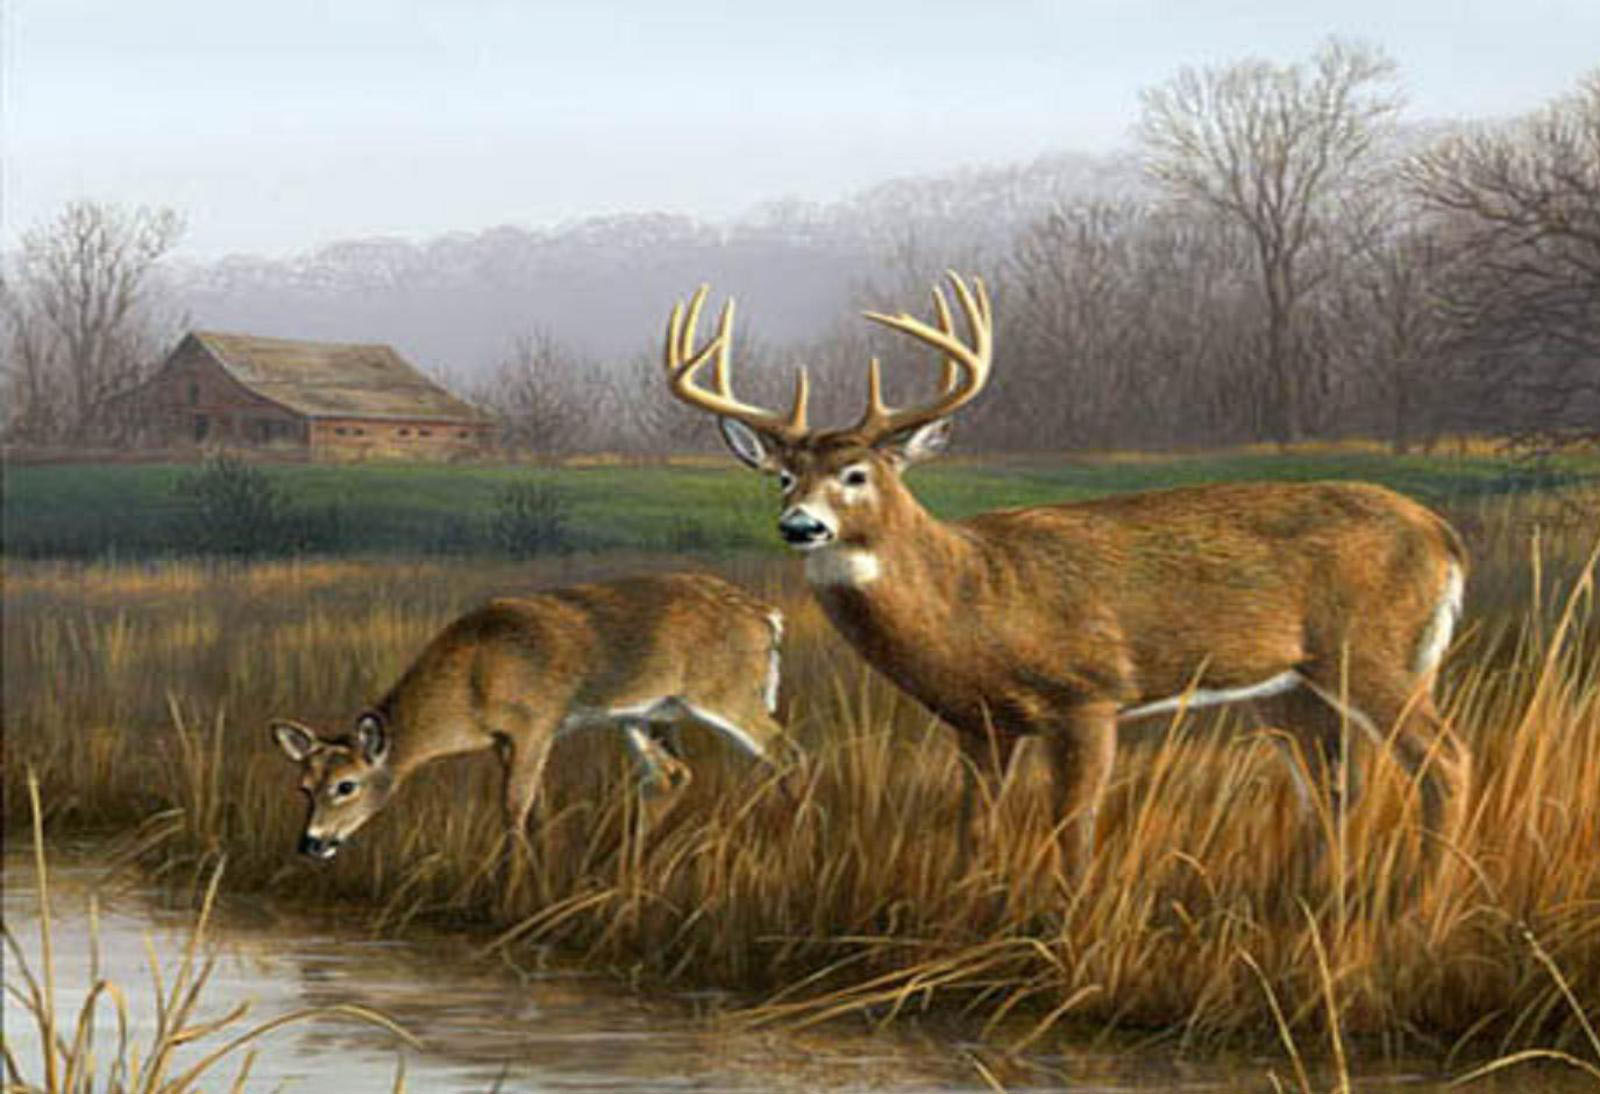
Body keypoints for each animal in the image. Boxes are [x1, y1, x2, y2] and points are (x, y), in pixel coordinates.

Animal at [270, 572, 788, 861]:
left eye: (346, 786)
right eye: (303, 787)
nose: (311, 843)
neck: (469, 686)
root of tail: (769, 617)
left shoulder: (536, 722)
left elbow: (514, 806)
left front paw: (510, 886)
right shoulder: (507, 740)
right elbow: (535, 805)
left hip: (729, 692)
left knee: (786, 753)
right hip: (647, 714)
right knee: (671, 775)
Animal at [659, 273, 1471, 882]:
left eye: (856, 474)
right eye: (783, 477)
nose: (801, 526)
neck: (974, 601)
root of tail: (1445, 536)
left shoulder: (1090, 695)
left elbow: (1072, 834)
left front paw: (1063, 929)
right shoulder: (980, 724)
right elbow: (975, 833)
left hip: (1373, 651)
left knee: (1444, 761)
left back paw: (1418, 905)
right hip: (1290, 689)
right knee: (1337, 788)